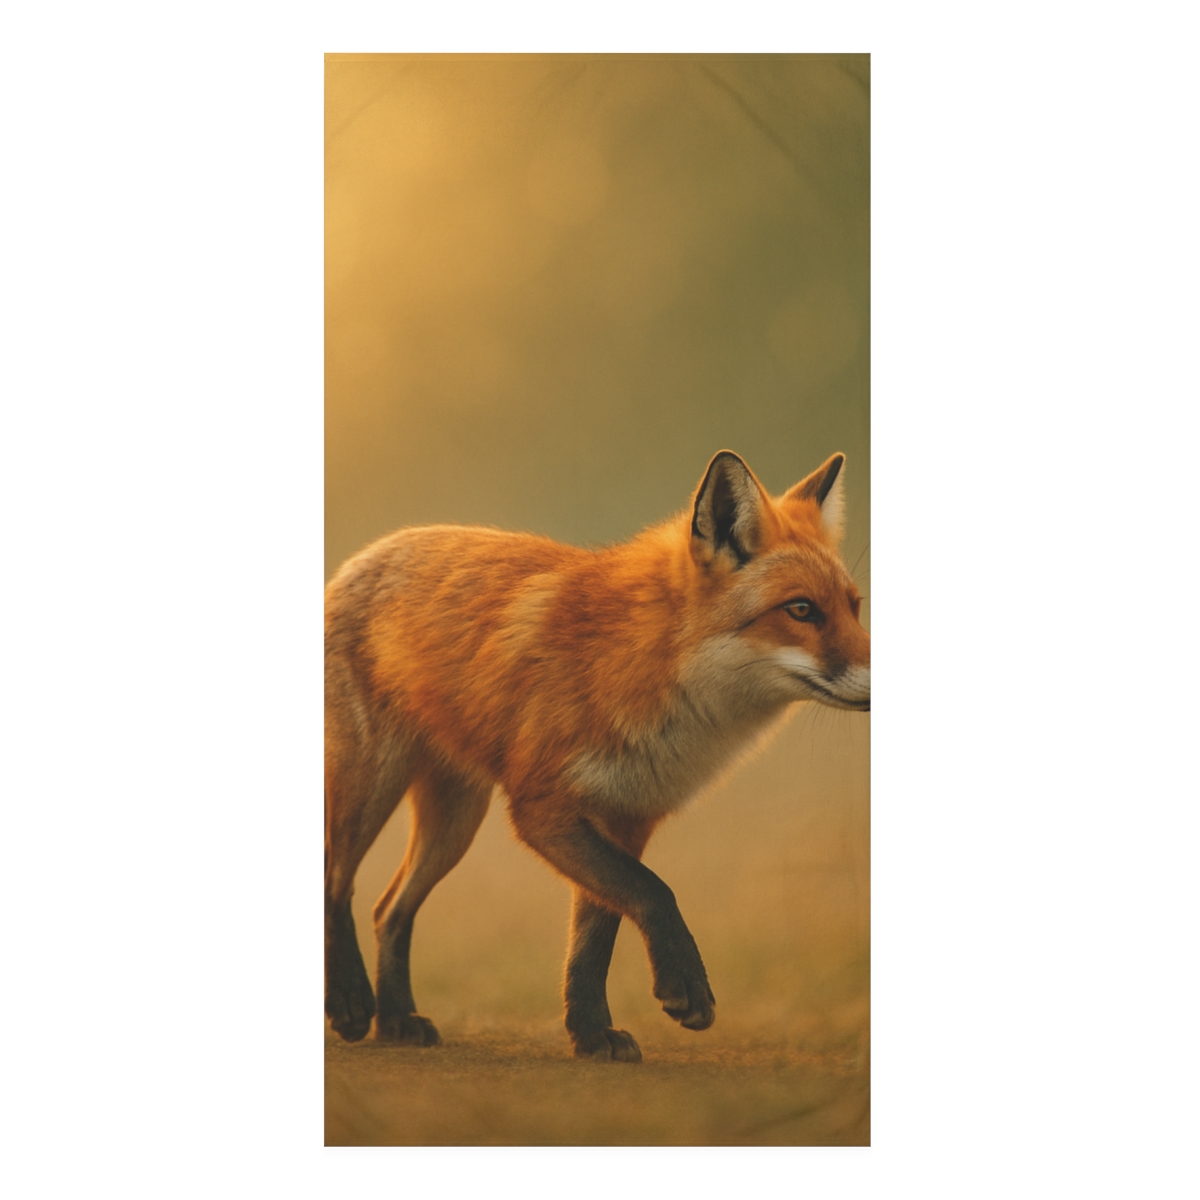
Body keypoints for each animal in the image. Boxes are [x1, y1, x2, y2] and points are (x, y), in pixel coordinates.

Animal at [325, 449, 869, 1062]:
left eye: (854, 608)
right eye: (801, 610)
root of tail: (368, 552)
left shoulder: (626, 815)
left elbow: (595, 939)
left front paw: (589, 1032)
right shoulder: (544, 810)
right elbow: (654, 891)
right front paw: (683, 987)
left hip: (454, 823)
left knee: (389, 909)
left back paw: (396, 1017)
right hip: (371, 788)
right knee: (336, 884)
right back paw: (350, 1002)